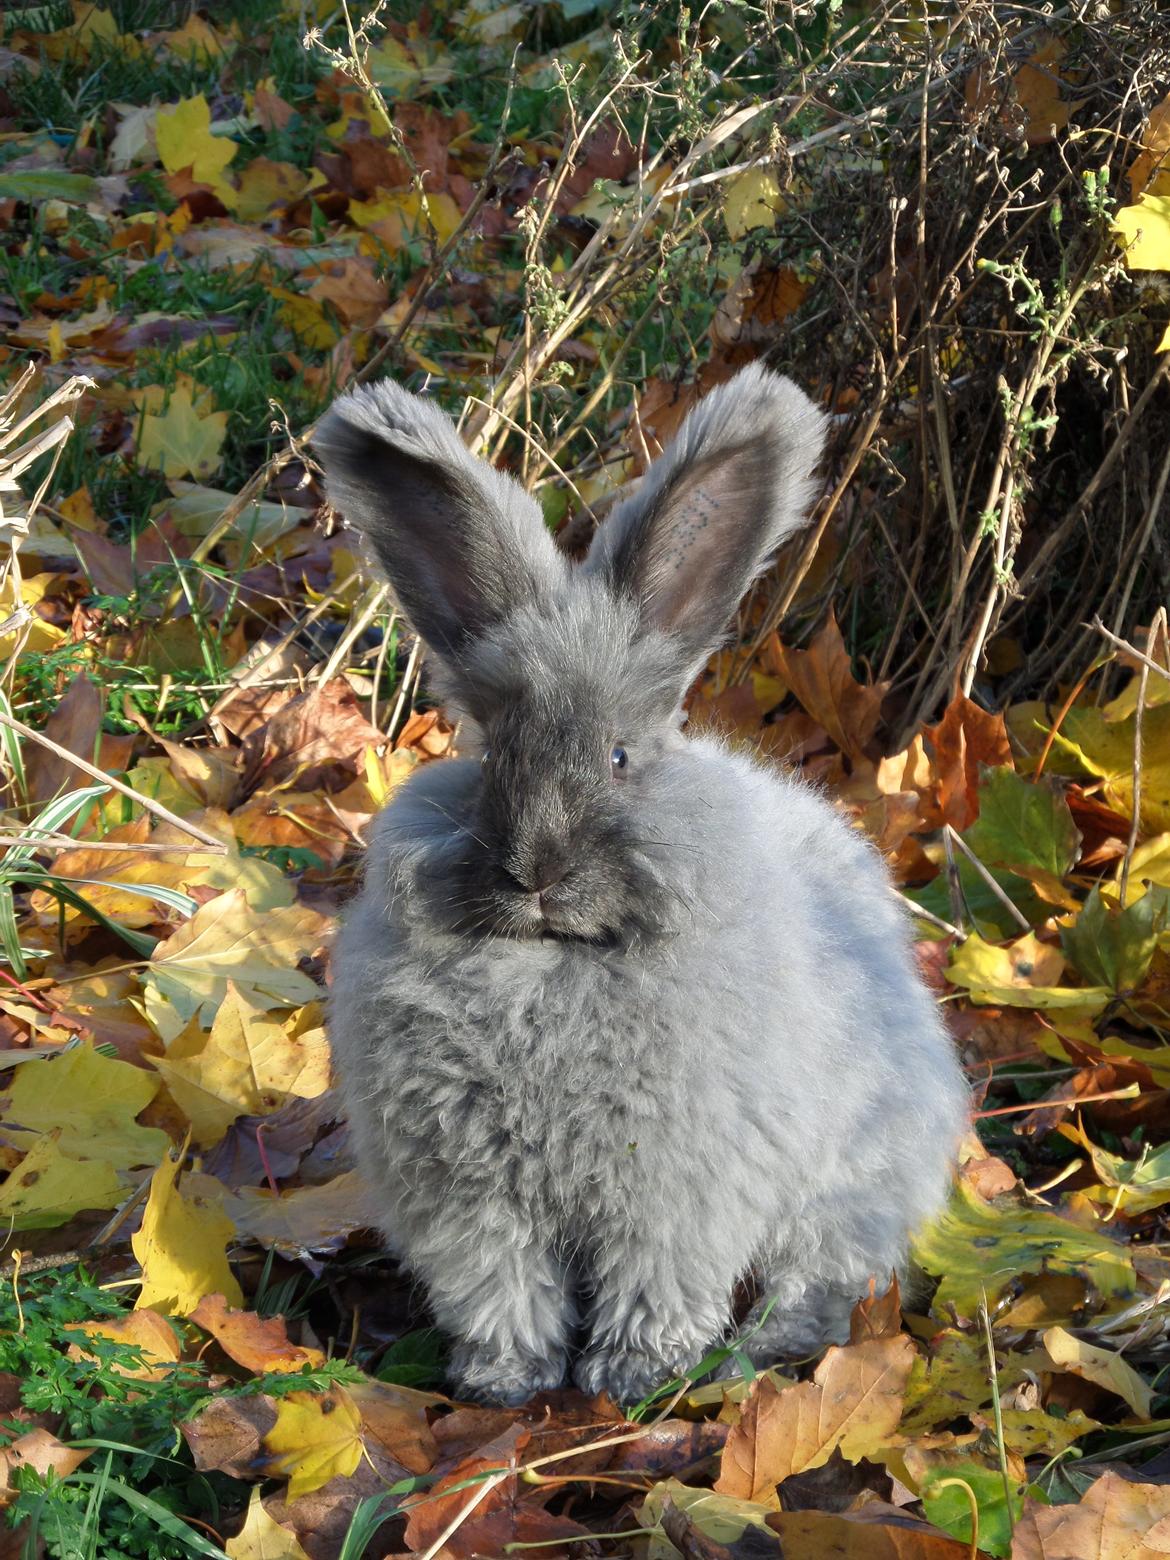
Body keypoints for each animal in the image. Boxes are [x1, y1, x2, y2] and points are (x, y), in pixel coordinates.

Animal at [313, 368, 973, 1416]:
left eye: (620, 757)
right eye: (492, 755)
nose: (535, 873)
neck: (550, 963)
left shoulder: (674, 1201)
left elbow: (655, 1289)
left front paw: (631, 1379)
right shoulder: (474, 1210)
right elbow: (503, 1292)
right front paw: (506, 1383)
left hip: (851, 1184)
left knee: (822, 1286)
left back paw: (759, 1353)